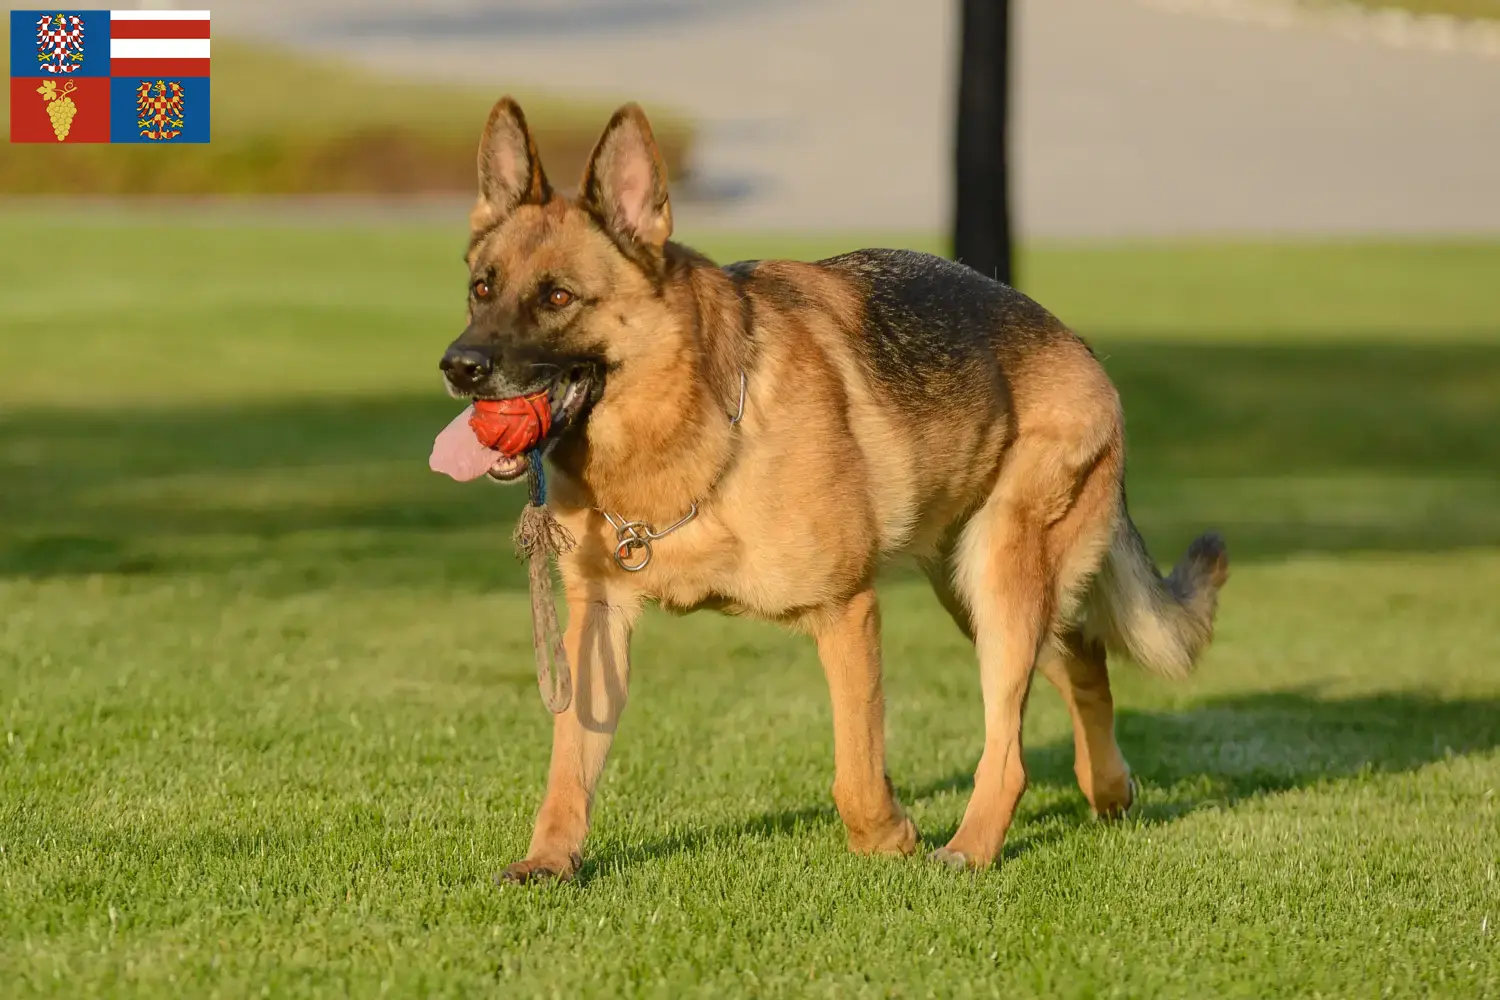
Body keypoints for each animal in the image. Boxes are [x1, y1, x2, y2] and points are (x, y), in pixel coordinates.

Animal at [438, 99, 1230, 881]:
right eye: (482, 289)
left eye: (558, 297)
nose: (458, 367)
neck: (695, 429)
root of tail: (1075, 342)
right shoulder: (600, 620)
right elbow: (569, 763)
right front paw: (550, 859)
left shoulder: (845, 611)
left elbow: (855, 773)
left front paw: (890, 841)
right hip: (976, 592)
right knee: (1081, 658)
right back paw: (1108, 790)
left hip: (1001, 580)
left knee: (1008, 749)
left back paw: (969, 849)